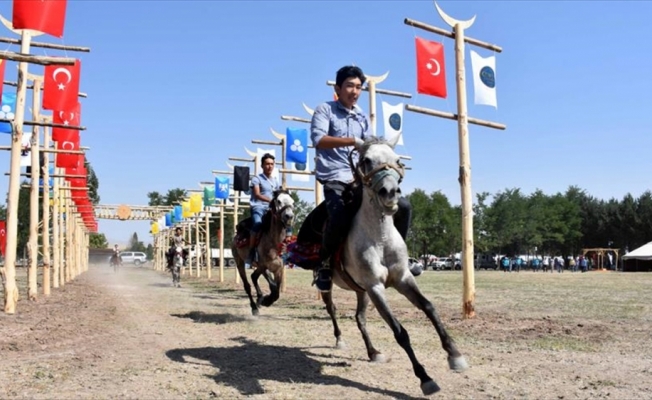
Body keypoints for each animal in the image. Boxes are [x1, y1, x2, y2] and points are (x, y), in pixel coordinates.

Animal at [304, 136, 466, 396]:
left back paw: (373, 352)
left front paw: (455, 354)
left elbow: (430, 308)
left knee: (359, 318)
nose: (389, 192)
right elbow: (400, 332)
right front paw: (425, 378)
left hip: (361, 291)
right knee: (332, 310)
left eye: (398, 161)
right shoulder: (376, 287)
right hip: (332, 287)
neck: (380, 238)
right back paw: (339, 339)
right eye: (366, 160)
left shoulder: (402, 279)